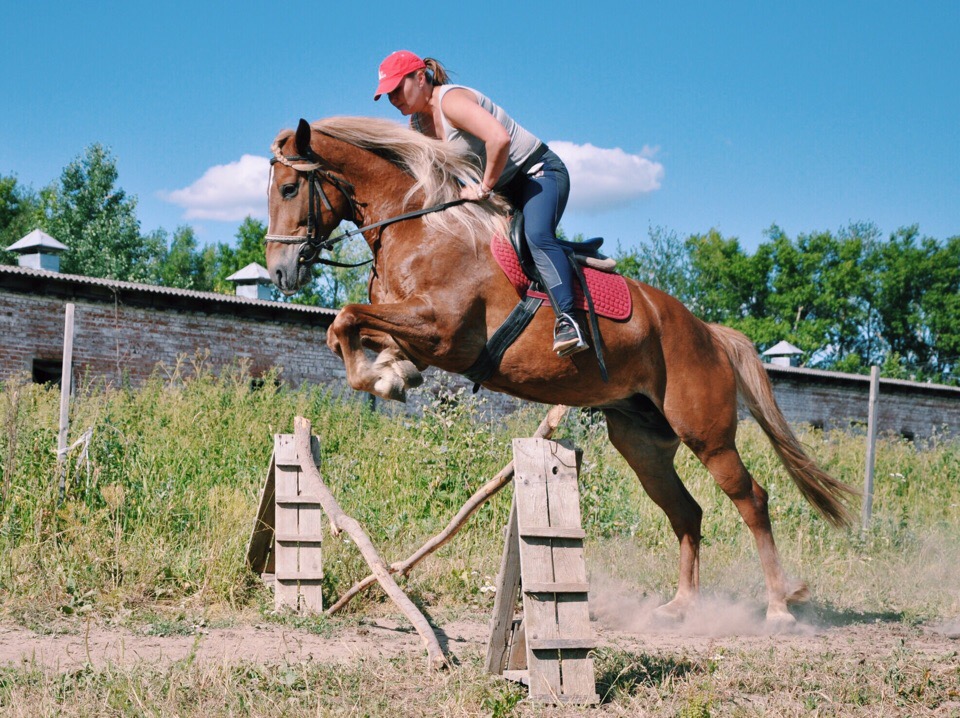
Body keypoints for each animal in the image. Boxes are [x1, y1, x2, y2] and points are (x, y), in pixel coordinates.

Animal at [262, 116, 856, 624]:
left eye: (289, 190)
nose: (280, 272)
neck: (422, 227)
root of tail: (709, 332)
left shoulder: (443, 331)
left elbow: (345, 318)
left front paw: (385, 377)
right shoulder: (417, 332)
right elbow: (347, 331)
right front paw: (392, 374)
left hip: (706, 434)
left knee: (751, 499)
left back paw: (778, 607)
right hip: (642, 442)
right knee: (687, 512)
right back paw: (681, 607)